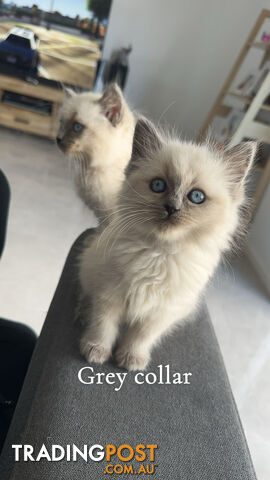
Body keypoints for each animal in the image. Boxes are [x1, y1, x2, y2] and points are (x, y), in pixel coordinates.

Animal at [77, 117, 255, 372]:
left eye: (197, 197)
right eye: (158, 185)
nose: (172, 208)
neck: (160, 253)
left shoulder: (162, 312)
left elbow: (141, 336)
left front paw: (131, 358)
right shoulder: (109, 294)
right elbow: (103, 326)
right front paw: (95, 350)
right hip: (89, 267)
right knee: (86, 296)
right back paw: (82, 311)